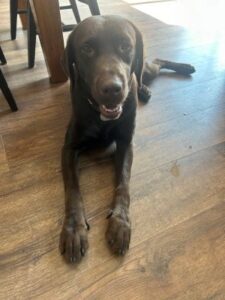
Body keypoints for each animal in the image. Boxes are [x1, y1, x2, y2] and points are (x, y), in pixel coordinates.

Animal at [59, 14, 195, 262]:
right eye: (86, 49)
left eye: (125, 46)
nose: (112, 89)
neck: (101, 116)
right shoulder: (69, 148)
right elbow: (73, 190)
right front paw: (74, 229)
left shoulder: (125, 144)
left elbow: (123, 184)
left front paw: (120, 223)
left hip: (145, 70)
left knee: (153, 63)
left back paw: (182, 68)